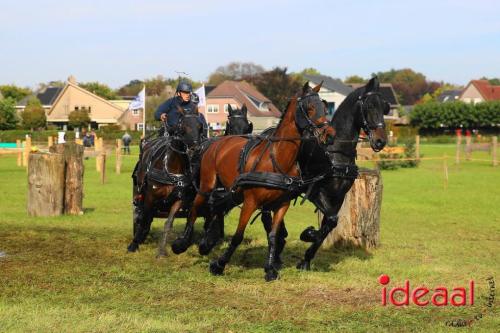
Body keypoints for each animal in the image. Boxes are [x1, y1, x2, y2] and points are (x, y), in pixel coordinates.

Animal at [128, 106, 204, 254]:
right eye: (183, 127)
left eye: (200, 126)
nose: (196, 149)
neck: (172, 168)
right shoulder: (150, 196)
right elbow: (145, 218)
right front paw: (134, 243)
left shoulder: (179, 200)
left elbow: (168, 223)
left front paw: (161, 251)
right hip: (140, 190)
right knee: (142, 213)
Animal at [172, 81, 336, 280]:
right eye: (310, 107)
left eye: (324, 107)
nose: (330, 135)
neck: (276, 158)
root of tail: (214, 142)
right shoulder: (251, 202)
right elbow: (238, 236)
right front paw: (219, 264)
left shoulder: (282, 204)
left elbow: (273, 236)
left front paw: (270, 269)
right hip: (208, 184)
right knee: (196, 207)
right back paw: (182, 243)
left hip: (229, 192)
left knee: (215, 207)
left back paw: (206, 243)